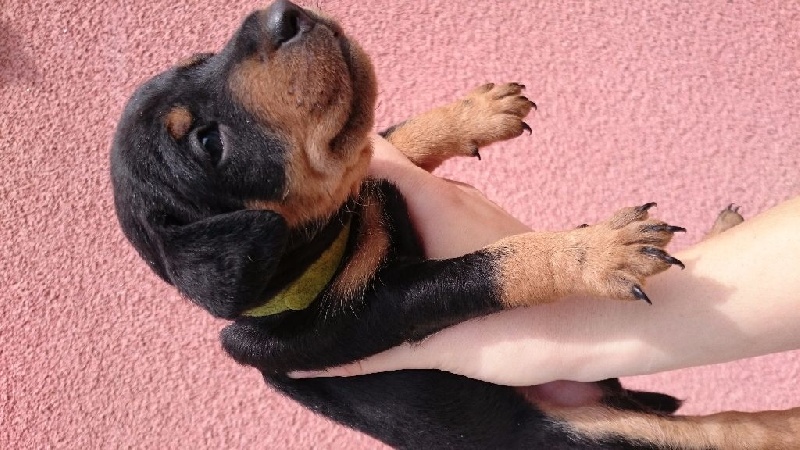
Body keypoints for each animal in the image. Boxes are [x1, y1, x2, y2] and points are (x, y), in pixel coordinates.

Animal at [110, 1, 800, 448]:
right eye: (207, 142)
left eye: (204, 57)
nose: (283, 14)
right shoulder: (371, 314)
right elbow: (487, 266)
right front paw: (593, 252)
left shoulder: (376, 178)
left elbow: (388, 140)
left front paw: (477, 111)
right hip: (605, 436)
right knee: (732, 431)